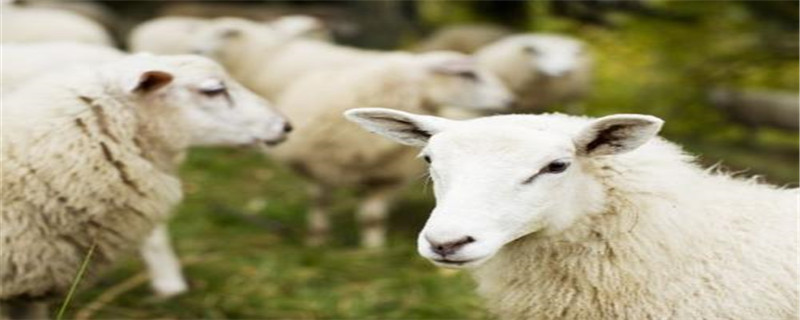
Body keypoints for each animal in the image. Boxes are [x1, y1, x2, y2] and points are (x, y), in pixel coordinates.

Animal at [268, 52, 512, 248]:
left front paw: (372, 249)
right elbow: (319, 203)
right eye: (468, 75)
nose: (508, 100)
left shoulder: (384, 177)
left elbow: (372, 217)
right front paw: (317, 240)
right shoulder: (317, 168)